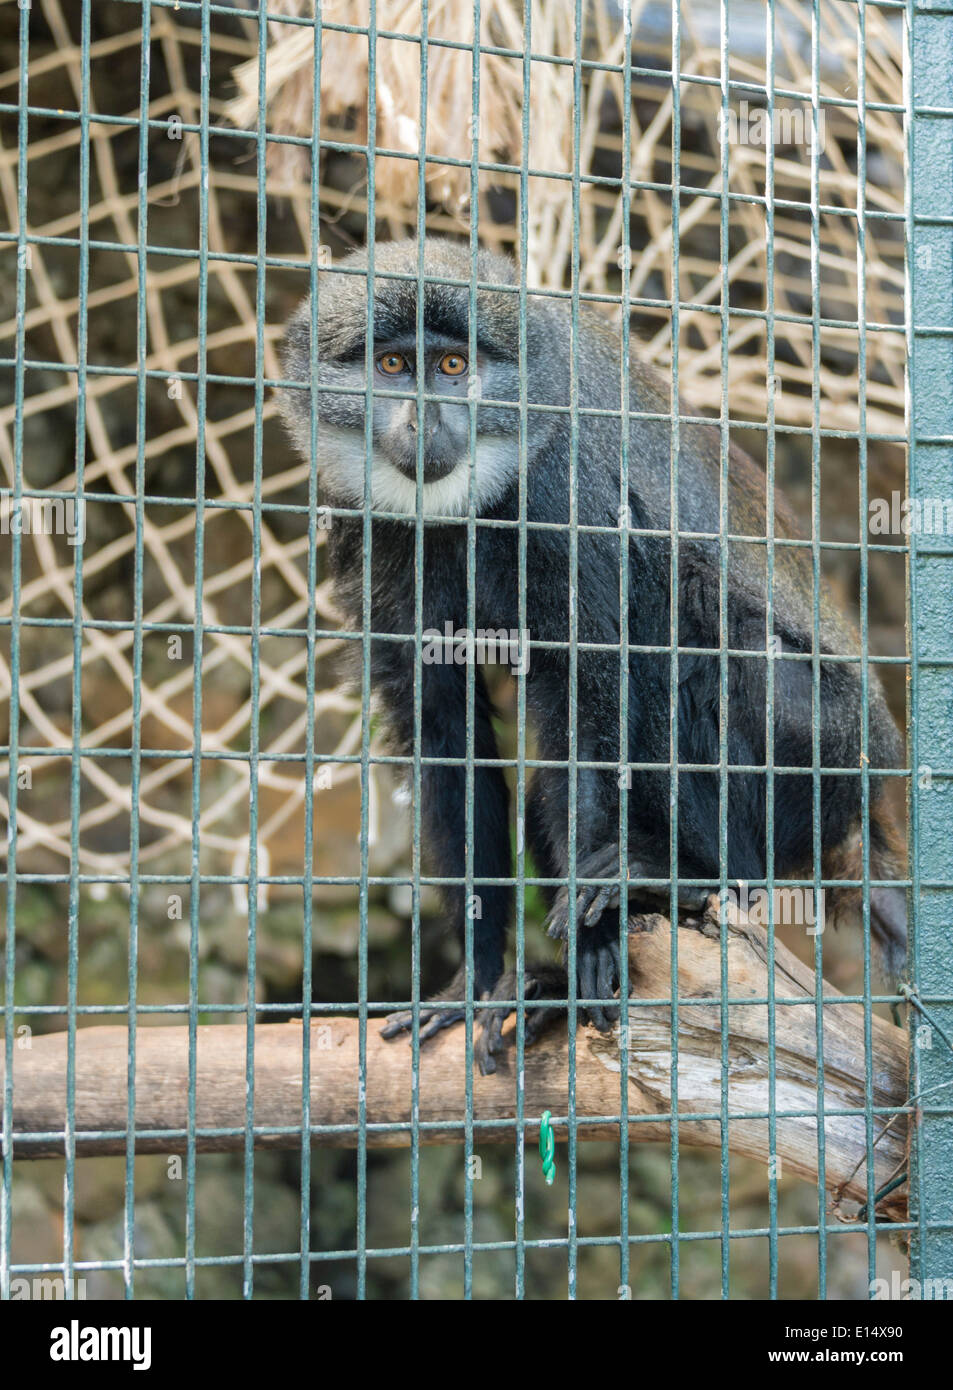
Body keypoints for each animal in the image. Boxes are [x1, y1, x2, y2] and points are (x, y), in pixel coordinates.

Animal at [277, 236, 911, 1073]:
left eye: (452, 367)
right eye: (390, 366)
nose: (425, 421)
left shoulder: (562, 491)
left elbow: (592, 685)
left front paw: (594, 947)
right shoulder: (366, 523)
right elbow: (441, 726)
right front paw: (479, 978)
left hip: (825, 762)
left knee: (701, 617)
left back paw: (689, 877)